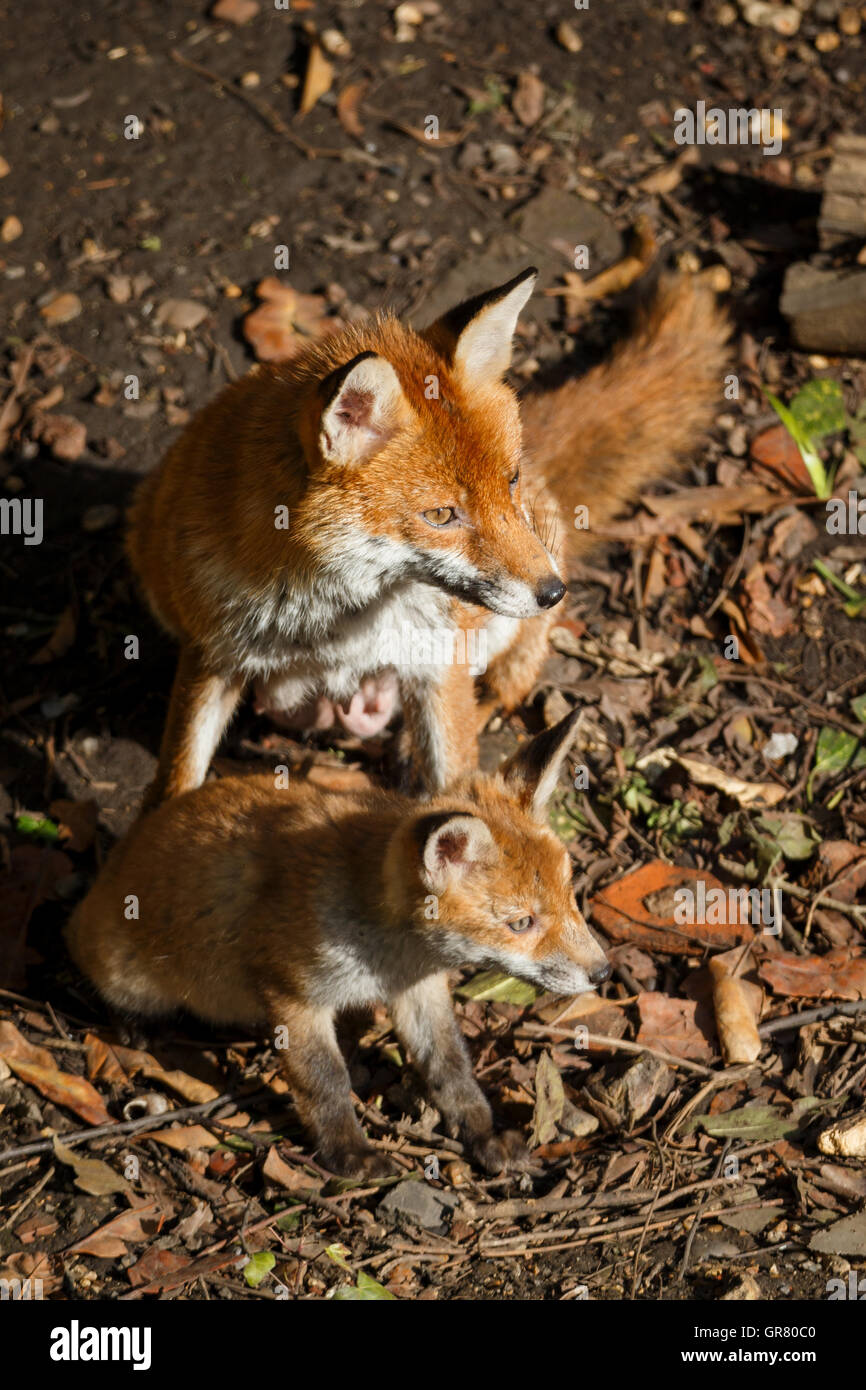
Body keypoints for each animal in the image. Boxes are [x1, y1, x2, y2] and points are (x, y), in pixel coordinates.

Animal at [127, 268, 722, 806]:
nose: (554, 592)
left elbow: (455, 774)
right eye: (441, 514)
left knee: (503, 691)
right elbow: (177, 778)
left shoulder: (437, 661)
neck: (335, 615)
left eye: (509, 481)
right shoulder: (212, 655)